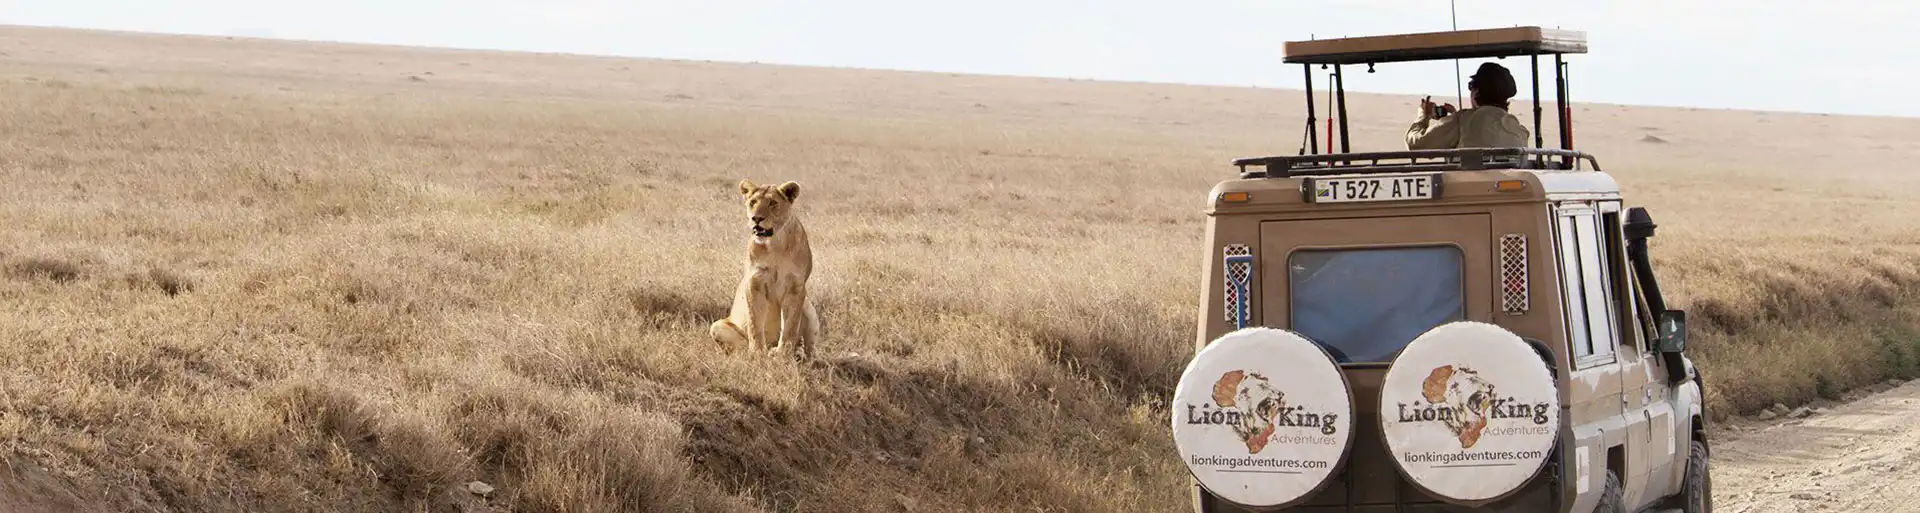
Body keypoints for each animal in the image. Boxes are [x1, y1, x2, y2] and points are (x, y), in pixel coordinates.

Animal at [709, 179, 821, 360]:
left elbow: (790, 325)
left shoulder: (796, 288)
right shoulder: (754, 284)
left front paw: (783, 353)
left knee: (810, 348)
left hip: (809, 309)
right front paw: (757, 352)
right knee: (739, 345)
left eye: (773, 203)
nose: (756, 218)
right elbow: (755, 323)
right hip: (717, 326)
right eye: (753, 202)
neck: (774, 245)